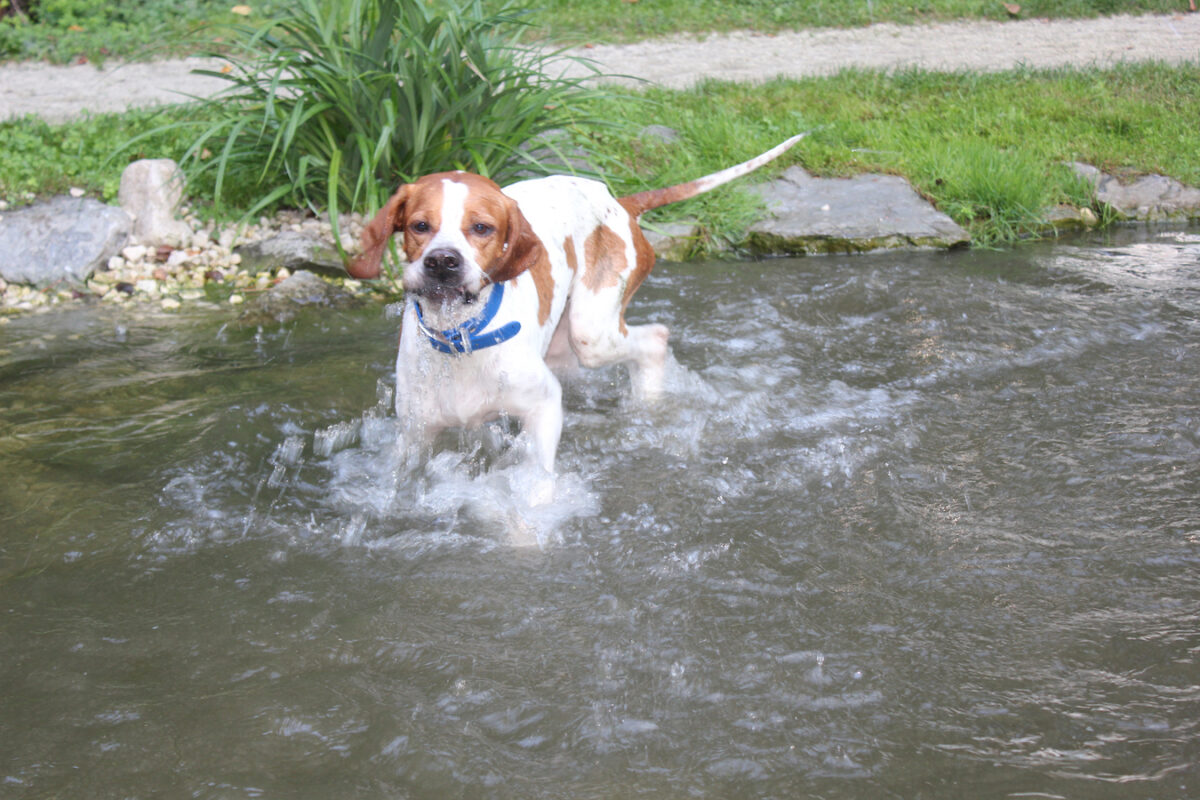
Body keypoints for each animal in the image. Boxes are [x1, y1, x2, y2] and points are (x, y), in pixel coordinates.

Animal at [348, 135, 806, 482]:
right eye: (419, 226)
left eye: (481, 228)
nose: (443, 261)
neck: (461, 338)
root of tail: (617, 199)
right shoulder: (415, 435)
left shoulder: (543, 405)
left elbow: (535, 483)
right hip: (562, 347)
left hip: (591, 335)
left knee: (655, 339)